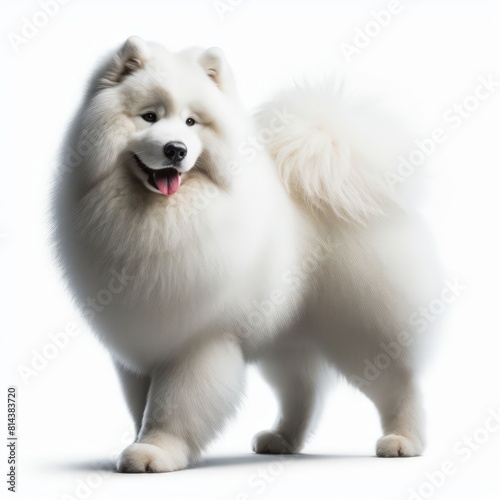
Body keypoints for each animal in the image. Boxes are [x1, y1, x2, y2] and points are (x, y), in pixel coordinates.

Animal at [51, 37, 442, 470]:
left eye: (191, 122)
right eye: (149, 117)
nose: (175, 149)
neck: (161, 218)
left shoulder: (198, 343)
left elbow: (171, 406)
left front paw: (156, 450)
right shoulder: (139, 342)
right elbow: (141, 405)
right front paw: (143, 442)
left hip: (359, 328)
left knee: (398, 383)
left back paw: (403, 441)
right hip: (288, 338)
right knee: (304, 391)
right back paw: (282, 439)